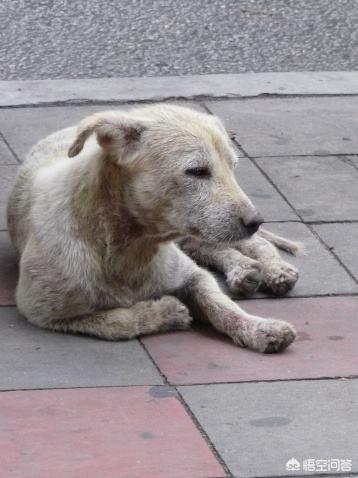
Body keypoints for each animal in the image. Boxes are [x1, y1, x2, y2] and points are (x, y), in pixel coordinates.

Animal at [7, 103, 300, 352]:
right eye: (197, 171)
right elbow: (118, 323)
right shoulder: (43, 311)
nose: (255, 221)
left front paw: (259, 328)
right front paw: (166, 312)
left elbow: (220, 304)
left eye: (233, 167)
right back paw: (244, 270)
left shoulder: (191, 275)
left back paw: (274, 269)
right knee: (212, 248)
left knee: (253, 243)